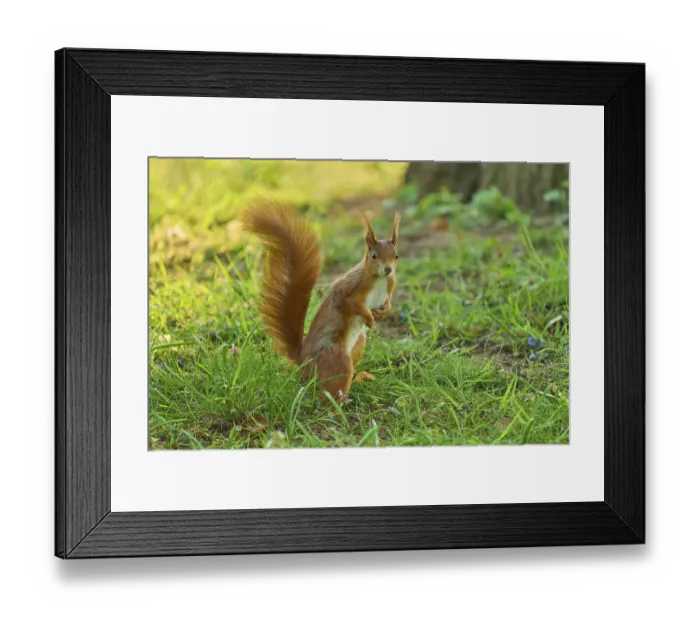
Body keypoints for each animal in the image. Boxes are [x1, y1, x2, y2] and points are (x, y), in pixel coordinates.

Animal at [242, 202, 400, 403]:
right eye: (373, 255)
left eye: (396, 256)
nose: (388, 270)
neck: (379, 279)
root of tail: (304, 363)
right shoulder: (348, 289)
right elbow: (349, 303)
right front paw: (369, 317)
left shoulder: (389, 287)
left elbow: (387, 303)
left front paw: (384, 312)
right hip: (336, 359)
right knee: (329, 389)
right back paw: (339, 402)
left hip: (358, 345)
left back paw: (359, 379)